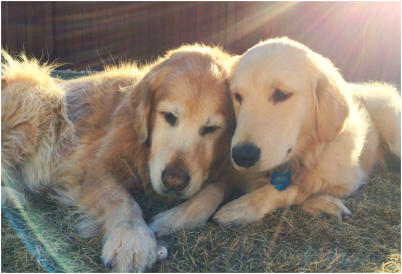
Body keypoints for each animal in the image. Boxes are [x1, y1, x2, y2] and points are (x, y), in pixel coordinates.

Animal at [1, 44, 236, 270]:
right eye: (169, 116)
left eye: (212, 128)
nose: (173, 181)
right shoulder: (96, 167)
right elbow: (121, 198)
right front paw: (132, 240)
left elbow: (216, 191)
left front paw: (171, 220)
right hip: (36, 93)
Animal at [214, 37, 398, 225]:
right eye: (237, 96)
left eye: (282, 94)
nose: (243, 155)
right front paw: (324, 204)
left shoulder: (349, 178)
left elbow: (295, 189)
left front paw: (241, 207)